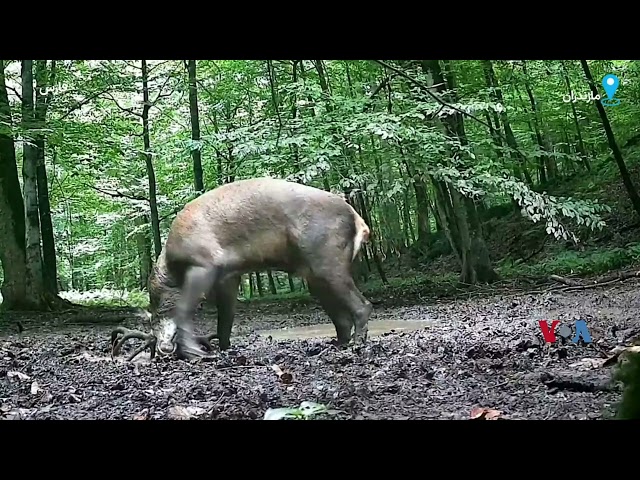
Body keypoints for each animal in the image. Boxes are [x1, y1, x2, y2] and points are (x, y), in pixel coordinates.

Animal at [107, 176, 372, 360]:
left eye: (155, 315)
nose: (162, 348)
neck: (173, 268)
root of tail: (359, 220)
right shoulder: (229, 276)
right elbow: (226, 318)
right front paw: (224, 350)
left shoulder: (205, 262)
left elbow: (184, 309)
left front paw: (197, 353)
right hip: (313, 274)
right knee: (340, 316)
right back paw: (336, 345)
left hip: (326, 260)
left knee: (362, 305)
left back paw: (357, 344)